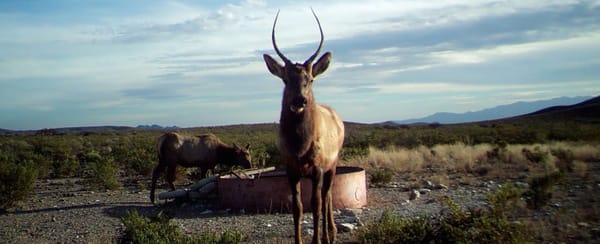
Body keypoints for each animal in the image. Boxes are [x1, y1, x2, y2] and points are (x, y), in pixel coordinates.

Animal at [262, 9, 342, 244]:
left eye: (311, 79)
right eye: (285, 79)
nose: (300, 100)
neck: (300, 145)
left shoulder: (318, 168)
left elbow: (315, 206)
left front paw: (317, 240)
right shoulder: (291, 169)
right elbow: (297, 207)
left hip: (334, 163)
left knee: (326, 196)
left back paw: (330, 233)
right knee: (327, 196)